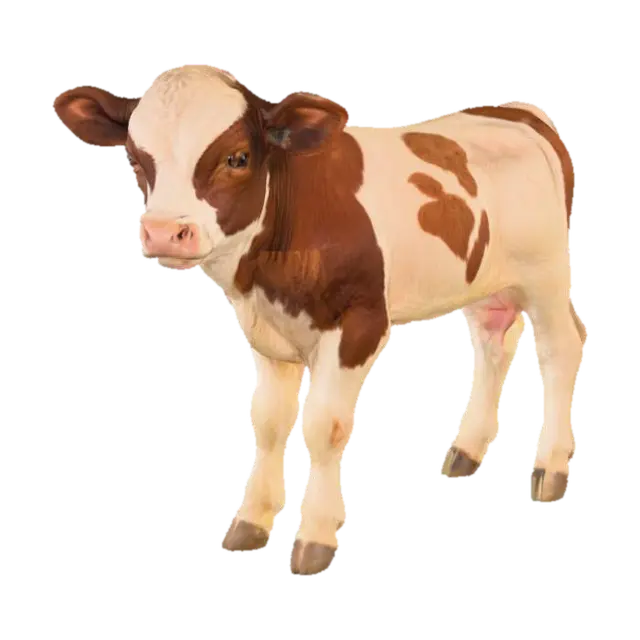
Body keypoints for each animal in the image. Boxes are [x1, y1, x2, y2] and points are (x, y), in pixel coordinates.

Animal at [53, 65, 586, 576]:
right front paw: (249, 525)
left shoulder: (360, 323)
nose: (164, 231)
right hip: (486, 280)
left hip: (547, 272)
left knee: (562, 348)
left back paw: (551, 470)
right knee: (493, 345)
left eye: (237, 158)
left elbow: (323, 427)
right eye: (134, 160)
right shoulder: (268, 333)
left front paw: (315, 540)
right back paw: (466, 453)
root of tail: (520, 111)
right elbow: (267, 423)